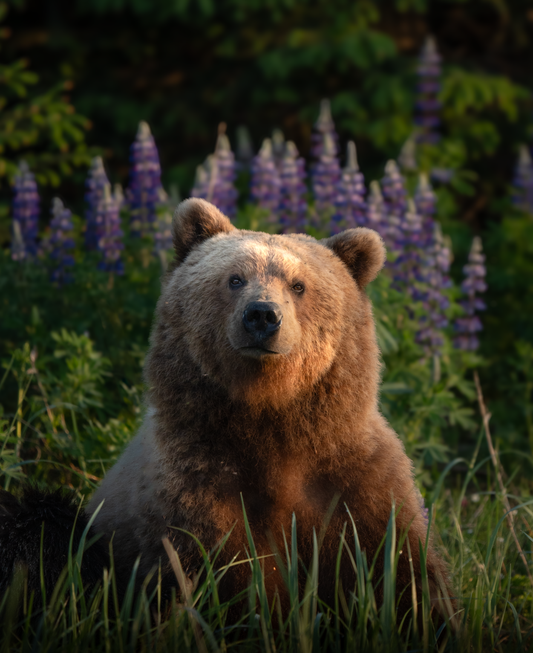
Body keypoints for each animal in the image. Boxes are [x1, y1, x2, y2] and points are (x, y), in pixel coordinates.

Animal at [87, 196, 454, 620]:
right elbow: (215, 571)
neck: (270, 413)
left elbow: (403, 566)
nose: (262, 315)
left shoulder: (356, 480)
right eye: (234, 279)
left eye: (299, 285)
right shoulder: (197, 483)